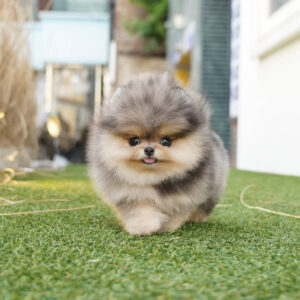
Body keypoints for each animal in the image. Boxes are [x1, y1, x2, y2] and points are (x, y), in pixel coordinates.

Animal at [88, 72, 229, 234]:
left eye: (165, 141)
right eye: (134, 141)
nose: (149, 149)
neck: (152, 176)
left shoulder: (182, 197)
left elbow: (174, 211)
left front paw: (166, 227)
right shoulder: (129, 194)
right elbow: (141, 211)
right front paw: (143, 227)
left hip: (214, 188)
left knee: (205, 206)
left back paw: (196, 218)